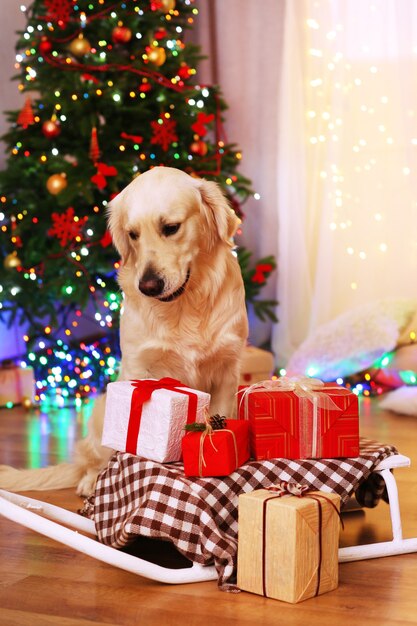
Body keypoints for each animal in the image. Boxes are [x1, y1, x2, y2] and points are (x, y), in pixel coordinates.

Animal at [0, 168, 247, 494]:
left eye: (171, 228)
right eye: (133, 234)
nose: (149, 286)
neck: (185, 305)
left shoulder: (227, 370)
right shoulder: (139, 368)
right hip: (101, 409)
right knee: (92, 462)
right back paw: (91, 481)